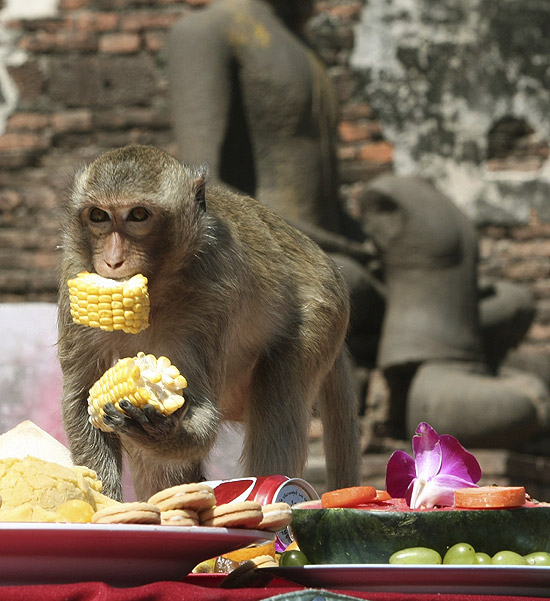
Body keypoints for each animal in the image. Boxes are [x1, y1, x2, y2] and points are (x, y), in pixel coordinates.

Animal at [58, 143, 364, 500]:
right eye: (98, 216)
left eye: (138, 215)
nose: (112, 260)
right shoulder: (74, 273)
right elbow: (82, 397)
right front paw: (105, 502)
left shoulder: (212, 293)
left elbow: (203, 412)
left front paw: (160, 432)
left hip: (323, 313)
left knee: (280, 400)